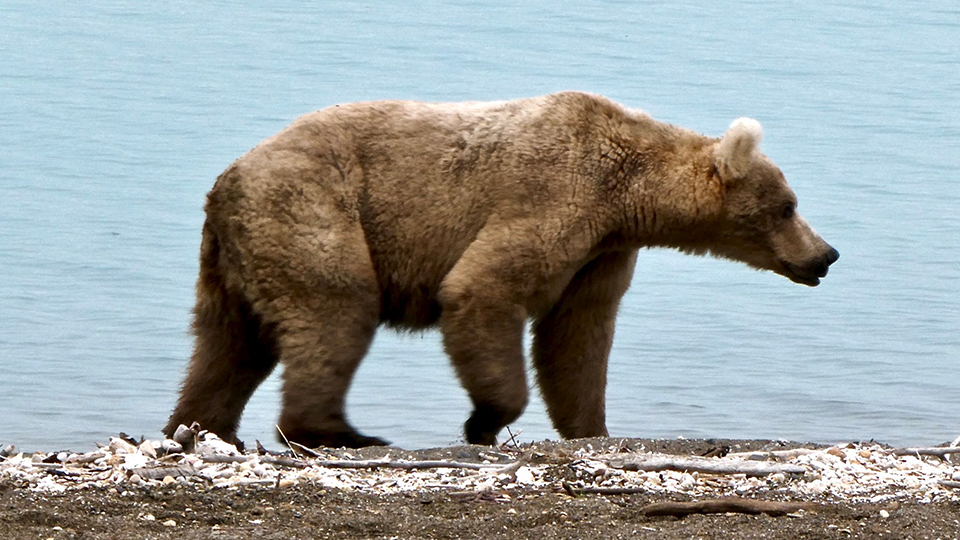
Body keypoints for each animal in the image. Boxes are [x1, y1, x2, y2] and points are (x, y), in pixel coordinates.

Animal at [163, 91, 838, 449]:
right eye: (788, 205)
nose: (825, 256)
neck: (629, 198)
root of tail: (228, 179)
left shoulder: (600, 253)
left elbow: (577, 340)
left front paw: (591, 428)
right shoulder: (554, 196)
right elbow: (482, 289)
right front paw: (483, 420)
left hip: (236, 258)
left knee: (227, 347)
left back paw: (198, 427)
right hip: (314, 210)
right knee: (335, 310)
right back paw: (338, 431)